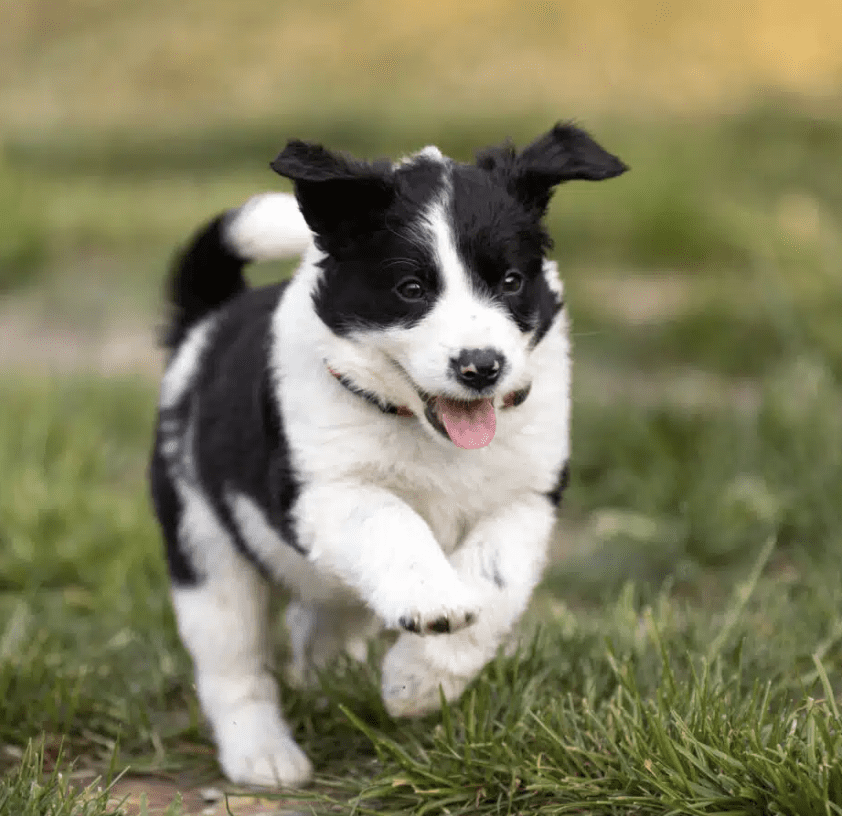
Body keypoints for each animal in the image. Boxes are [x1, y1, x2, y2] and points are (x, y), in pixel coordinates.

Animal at [149, 124, 624, 788]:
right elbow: (390, 520)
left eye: (510, 281)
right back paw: (263, 754)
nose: (481, 366)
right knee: (233, 663)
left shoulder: (528, 498)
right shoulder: (322, 490)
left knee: (322, 618)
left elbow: (494, 582)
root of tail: (204, 327)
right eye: (411, 289)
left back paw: (332, 680)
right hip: (206, 545)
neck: (421, 428)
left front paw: (418, 681)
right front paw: (430, 603)